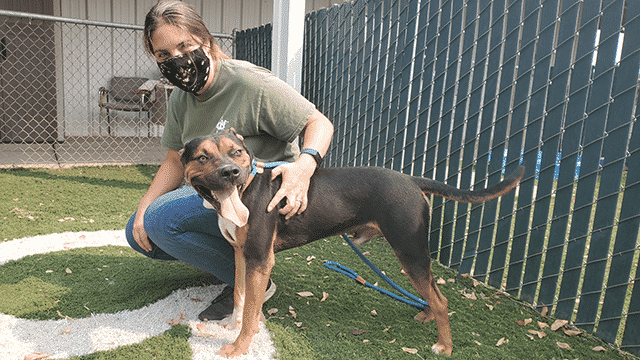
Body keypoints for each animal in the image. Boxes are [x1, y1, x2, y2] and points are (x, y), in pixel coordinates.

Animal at [180, 130, 524, 358]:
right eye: (202, 157)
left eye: (237, 151)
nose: (231, 172)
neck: (246, 189)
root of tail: (412, 180)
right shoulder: (242, 255)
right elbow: (240, 296)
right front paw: (231, 325)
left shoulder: (260, 259)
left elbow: (252, 310)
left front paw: (239, 346)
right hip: (410, 253)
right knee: (432, 294)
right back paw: (426, 315)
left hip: (410, 250)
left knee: (441, 300)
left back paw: (445, 345)